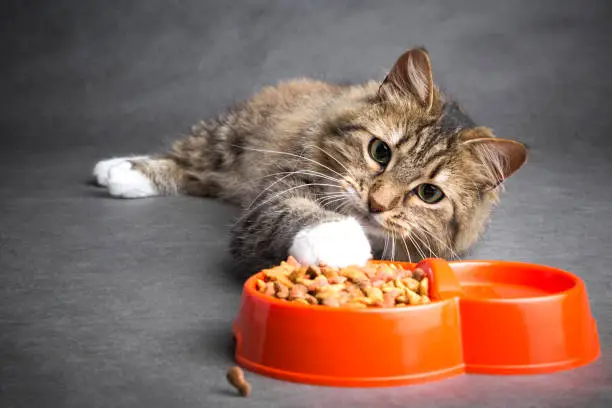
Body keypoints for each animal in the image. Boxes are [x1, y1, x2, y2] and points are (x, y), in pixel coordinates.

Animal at [91, 48, 524, 274]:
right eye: (380, 152)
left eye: (429, 193)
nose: (376, 204)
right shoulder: (274, 192)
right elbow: (297, 211)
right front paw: (336, 238)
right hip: (227, 137)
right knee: (186, 158)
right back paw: (120, 170)